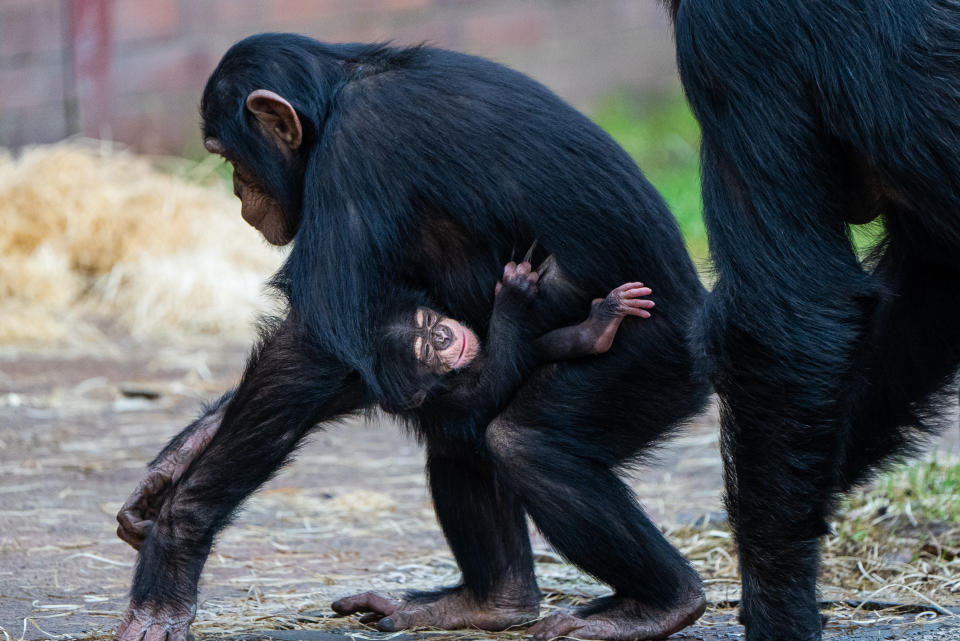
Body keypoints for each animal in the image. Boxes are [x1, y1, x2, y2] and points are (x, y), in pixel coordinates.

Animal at [376, 260, 652, 416]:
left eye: (428, 321)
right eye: (426, 351)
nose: (441, 335)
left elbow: (531, 350)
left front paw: (601, 322)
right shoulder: (446, 398)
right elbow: (491, 388)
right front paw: (511, 296)